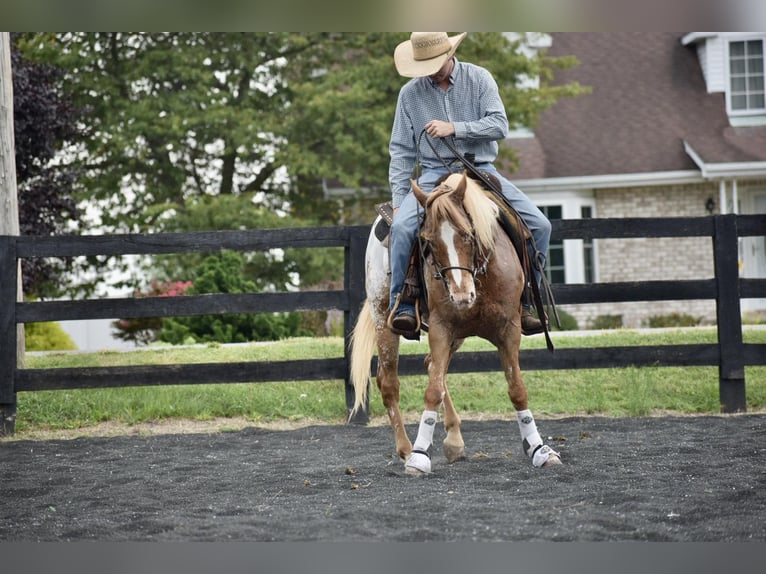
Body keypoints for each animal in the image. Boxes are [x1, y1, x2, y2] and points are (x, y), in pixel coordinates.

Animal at [352, 171, 560, 476]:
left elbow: (517, 390)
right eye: (426, 241)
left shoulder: (509, 330)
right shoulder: (441, 328)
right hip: (384, 319)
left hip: (456, 337)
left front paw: (539, 449)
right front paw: (419, 455)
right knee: (389, 382)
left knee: (431, 366)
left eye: (468, 234)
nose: (462, 295)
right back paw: (406, 449)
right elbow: (432, 391)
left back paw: (454, 440)